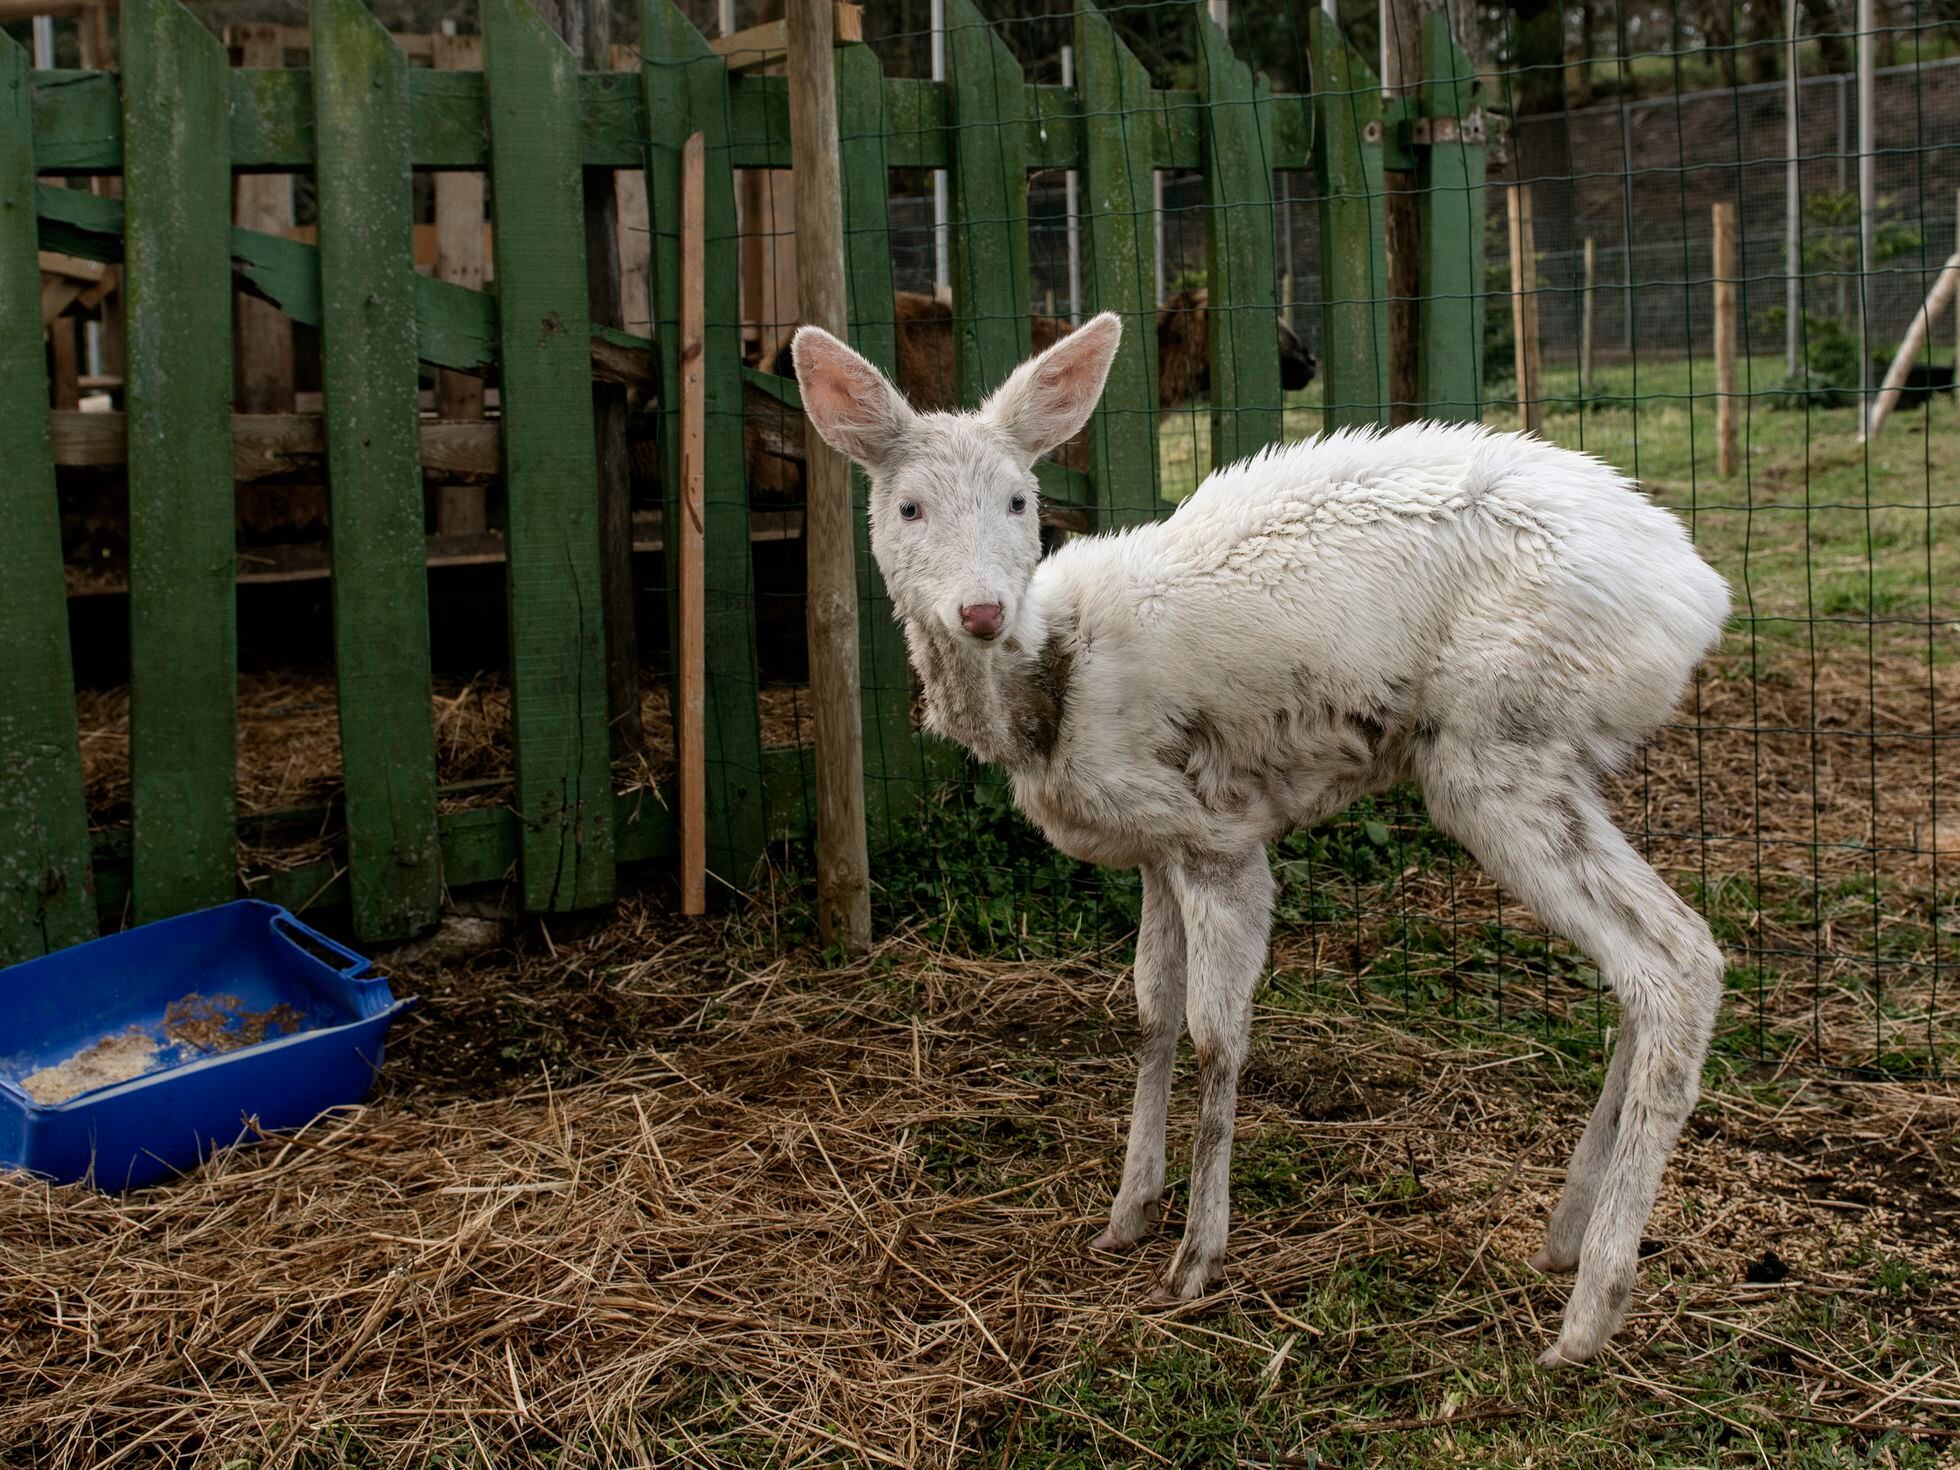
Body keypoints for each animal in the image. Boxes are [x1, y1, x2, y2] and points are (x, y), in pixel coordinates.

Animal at [791, 313, 1732, 1372]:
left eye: (1020, 498)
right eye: (907, 506)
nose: (982, 610)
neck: (1051, 689)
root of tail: (1699, 600)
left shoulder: (1220, 833)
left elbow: (1217, 1033)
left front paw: (1196, 1259)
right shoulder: (1155, 850)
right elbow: (1150, 1012)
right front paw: (1126, 1215)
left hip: (1499, 751)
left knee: (1671, 961)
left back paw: (1588, 1314)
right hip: (1554, 763)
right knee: (1664, 960)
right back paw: (1563, 1240)